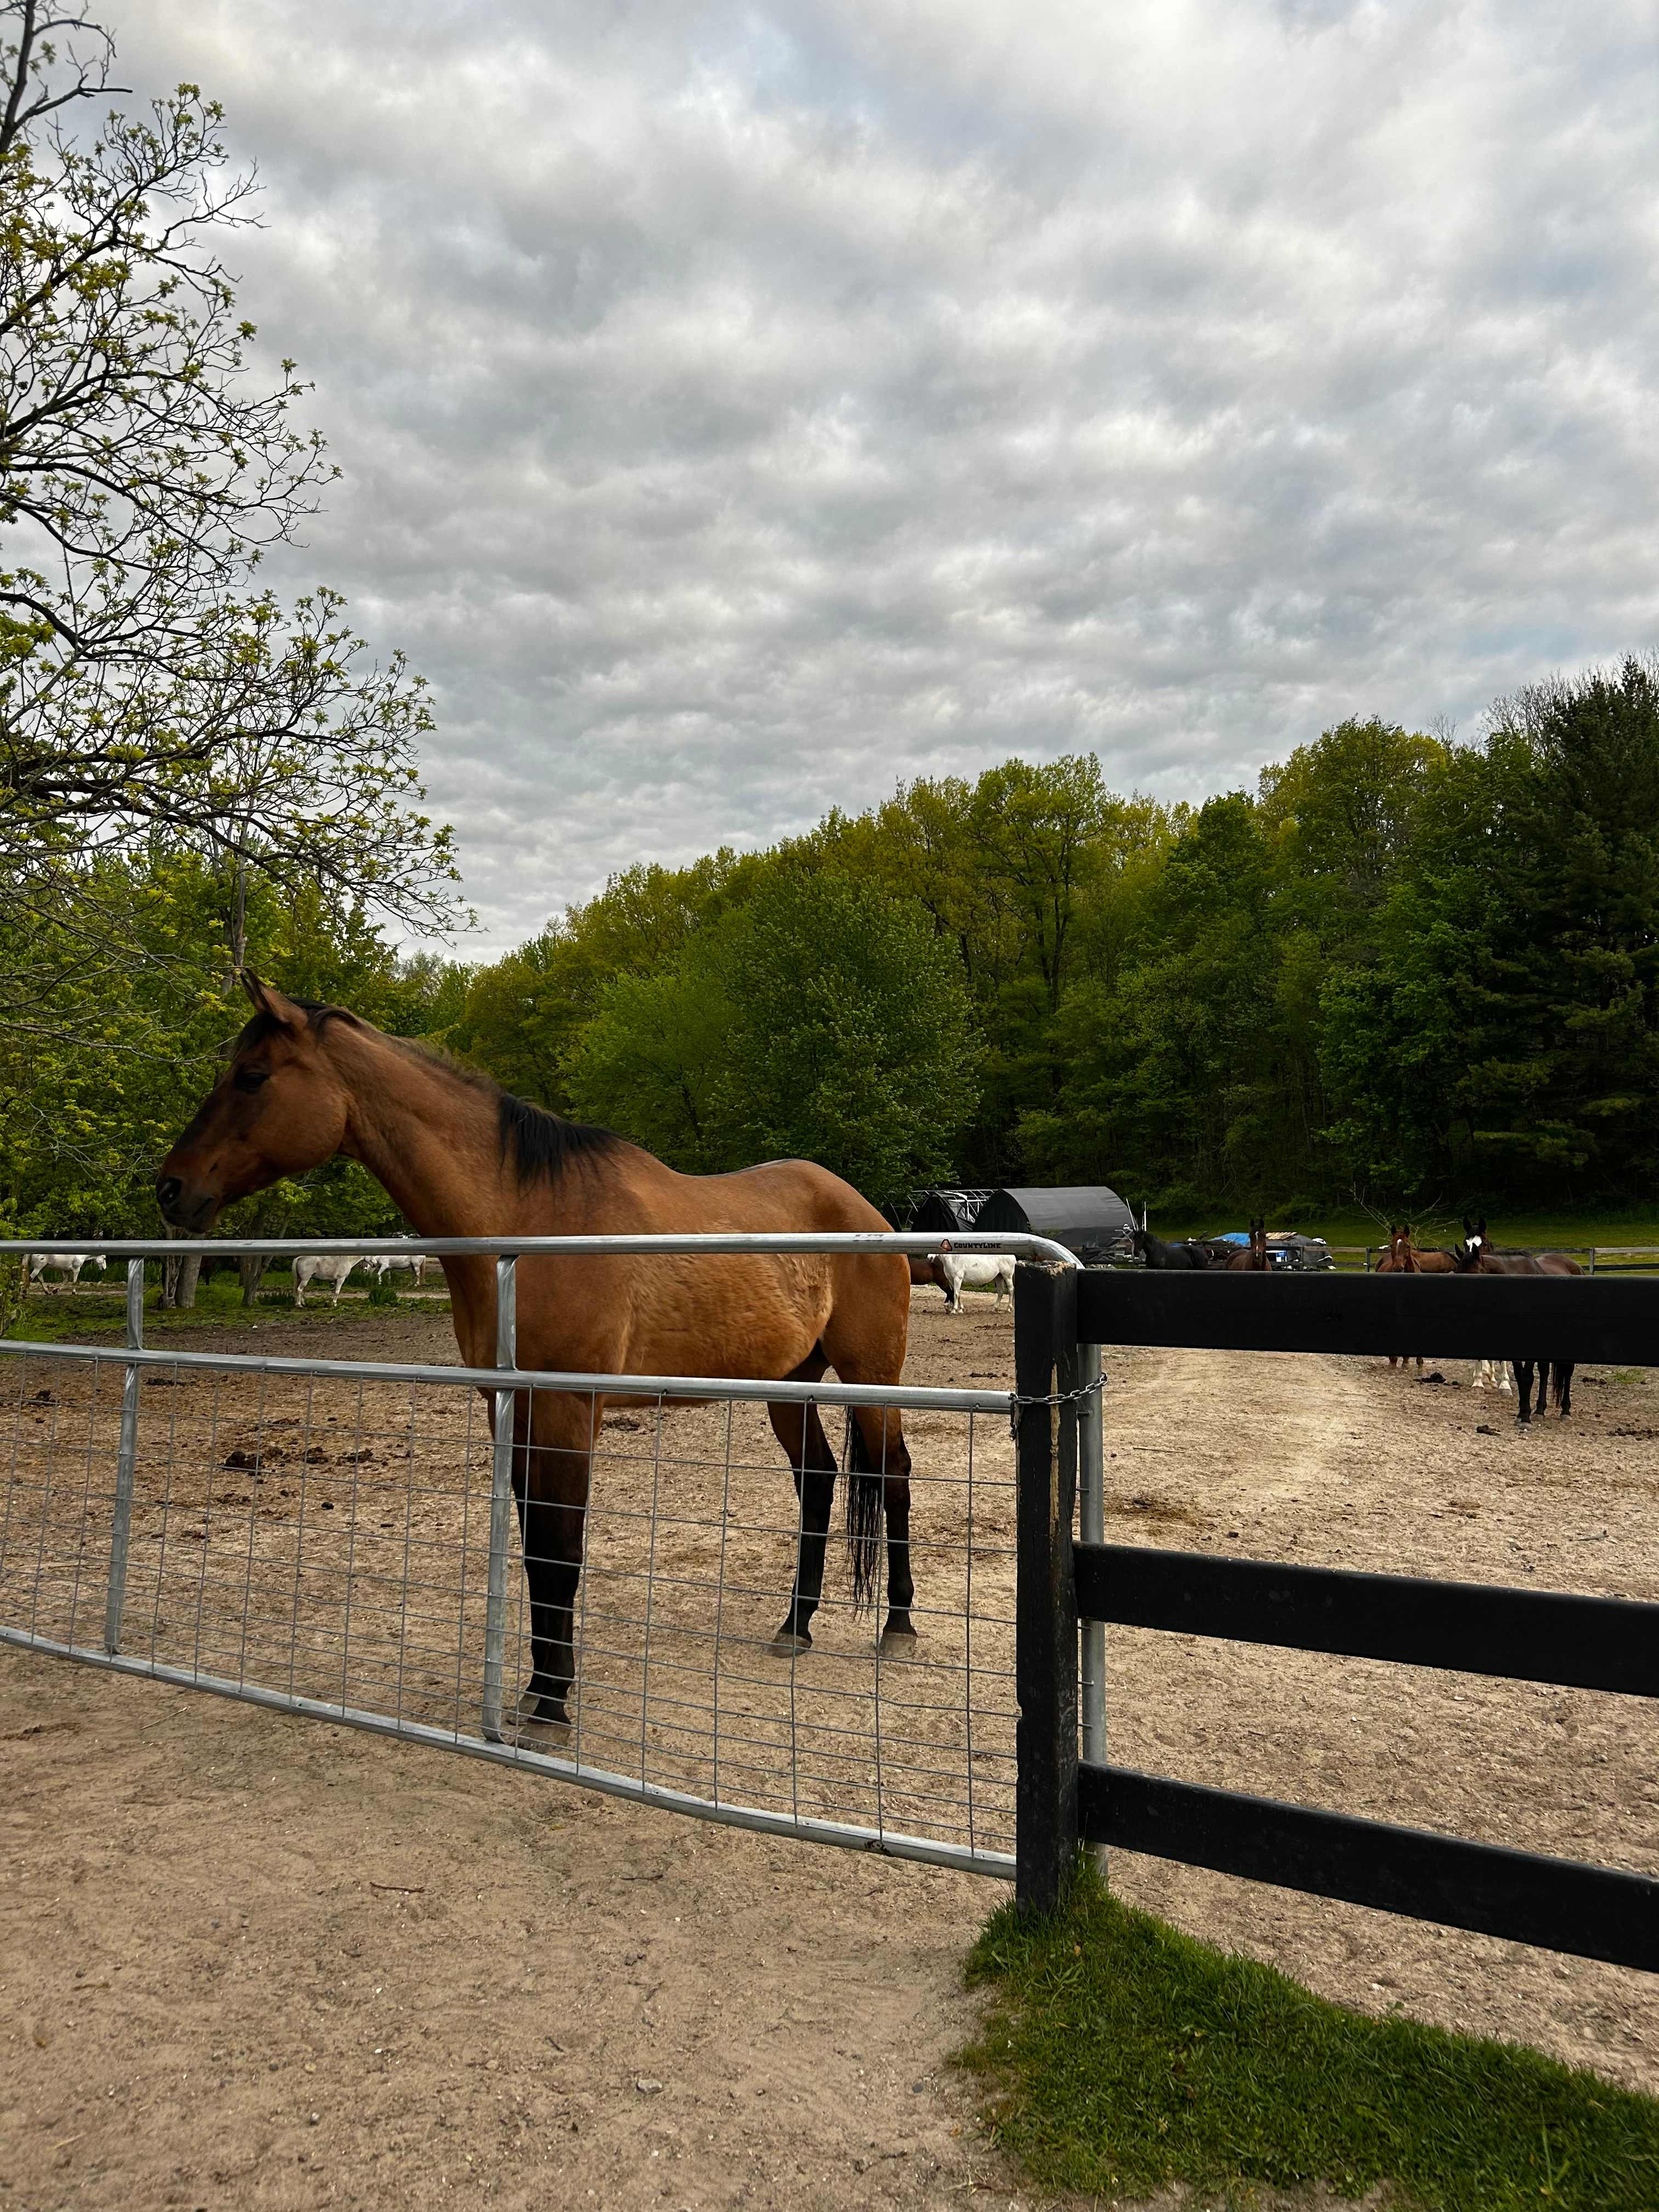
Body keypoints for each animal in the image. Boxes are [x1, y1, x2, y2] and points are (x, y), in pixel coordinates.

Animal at [156, 975, 917, 1726]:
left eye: (252, 1077)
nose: (171, 1189)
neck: (525, 1225)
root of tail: (868, 1214)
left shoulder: (566, 1408)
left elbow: (561, 1548)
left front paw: (552, 1701)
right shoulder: (515, 1408)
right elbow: (534, 1551)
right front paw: (538, 1686)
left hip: (871, 1377)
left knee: (894, 1476)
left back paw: (898, 1627)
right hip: (791, 1384)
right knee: (818, 1480)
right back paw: (796, 1626)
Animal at [1452, 1218, 1580, 1423]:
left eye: (1484, 1243)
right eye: (1466, 1243)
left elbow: (1526, 1375)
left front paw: (1523, 1413)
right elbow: (1521, 1375)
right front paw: (1523, 1411)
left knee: (1567, 1370)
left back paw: (1565, 1410)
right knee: (1545, 1370)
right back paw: (1540, 1409)